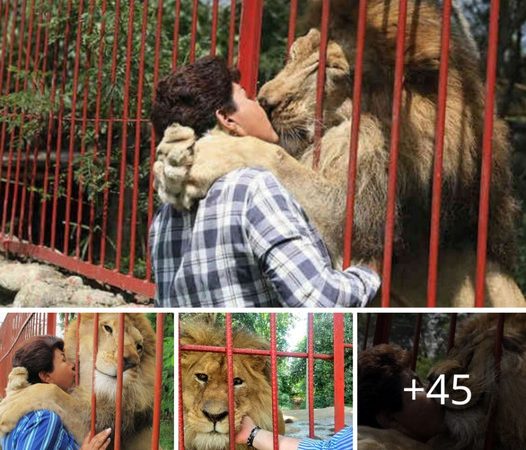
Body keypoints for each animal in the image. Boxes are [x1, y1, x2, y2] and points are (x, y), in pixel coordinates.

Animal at [0, 312, 157, 450]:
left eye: (139, 347)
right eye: (107, 328)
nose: (131, 362)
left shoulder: (99, 429)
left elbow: (55, 393)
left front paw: (9, 404)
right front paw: (16, 378)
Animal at [155, 0, 524, 306]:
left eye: (331, 70)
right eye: (294, 53)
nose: (265, 102)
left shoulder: (356, 228)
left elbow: (277, 159)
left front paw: (206, 153)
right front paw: (171, 159)